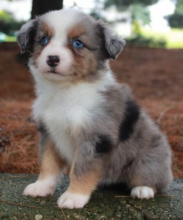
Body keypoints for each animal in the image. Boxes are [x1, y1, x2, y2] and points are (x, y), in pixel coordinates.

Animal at [16, 9, 172, 209]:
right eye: (43, 40)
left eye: (78, 43)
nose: (52, 59)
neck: (66, 89)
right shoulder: (49, 133)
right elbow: (48, 163)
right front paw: (41, 187)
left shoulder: (94, 137)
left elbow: (81, 169)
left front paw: (74, 197)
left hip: (149, 159)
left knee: (156, 179)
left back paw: (143, 189)